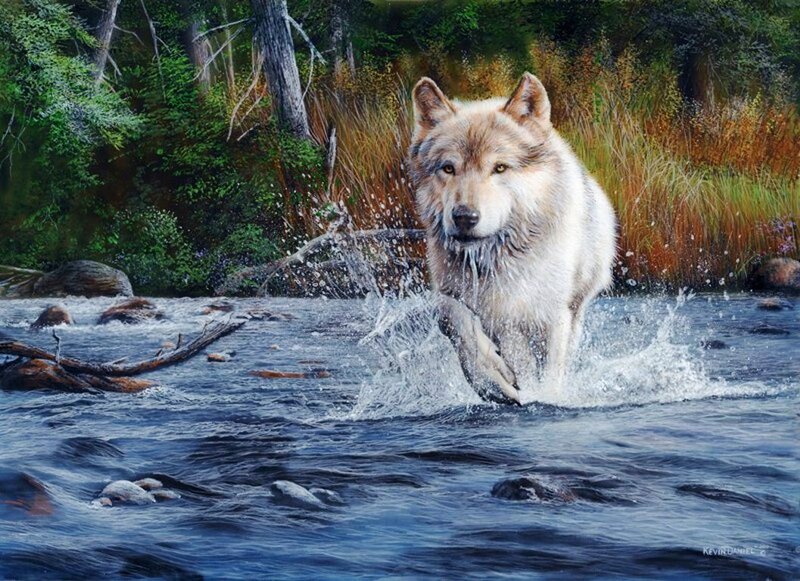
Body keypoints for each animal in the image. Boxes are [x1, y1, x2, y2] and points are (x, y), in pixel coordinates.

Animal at [408, 73, 617, 404]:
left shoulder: (549, 315)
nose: (464, 217)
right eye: (448, 168)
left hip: (575, 306)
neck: (498, 259)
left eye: (500, 167)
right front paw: (493, 382)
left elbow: (546, 373)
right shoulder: (456, 295)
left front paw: (542, 397)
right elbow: (451, 318)